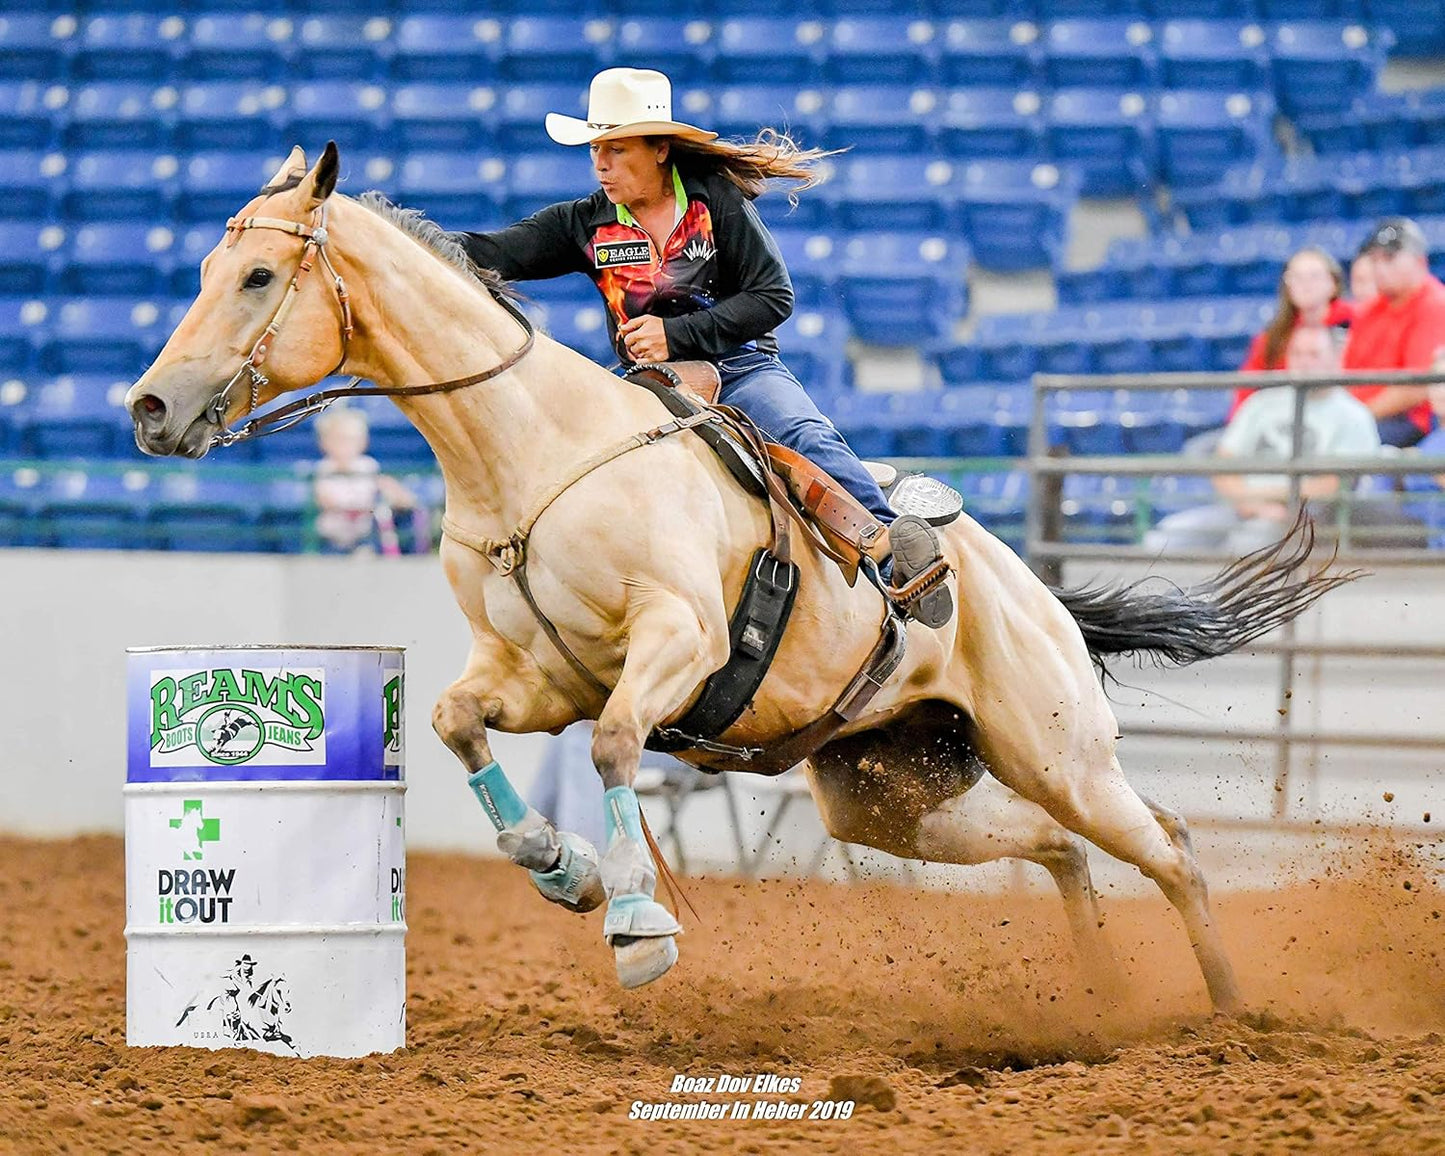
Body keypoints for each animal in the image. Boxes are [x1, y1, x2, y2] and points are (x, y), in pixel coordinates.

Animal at [126, 143, 1351, 1007]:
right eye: (208, 267)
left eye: (257, 274)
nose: (147, 406)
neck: (534, 454)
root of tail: (1036, 594)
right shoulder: (532, 675)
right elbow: (452, 721)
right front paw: (559, 867)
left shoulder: (679, 643)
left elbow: (618, 745)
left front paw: (633, 923)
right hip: (887, 795)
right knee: (1057, 848)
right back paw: (1101, 1000)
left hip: (1056, 753)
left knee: (1171, 850)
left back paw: (1227, 1017)